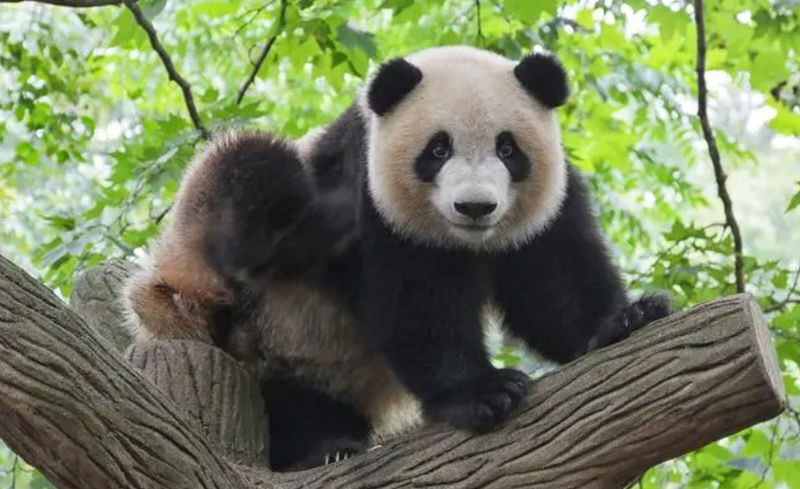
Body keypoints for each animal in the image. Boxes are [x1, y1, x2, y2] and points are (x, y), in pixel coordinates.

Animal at [123, 45, 671, 472]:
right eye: (438, 150)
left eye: (508, 148)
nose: (475, 207)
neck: (467, 241)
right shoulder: (376, 200)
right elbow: (415, 305)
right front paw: (484, 392)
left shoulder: (546, 206)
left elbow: (553, 283)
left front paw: (625, 319)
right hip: (233, 294)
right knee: (250, 168)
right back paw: (319, 450)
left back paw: (330, 441)